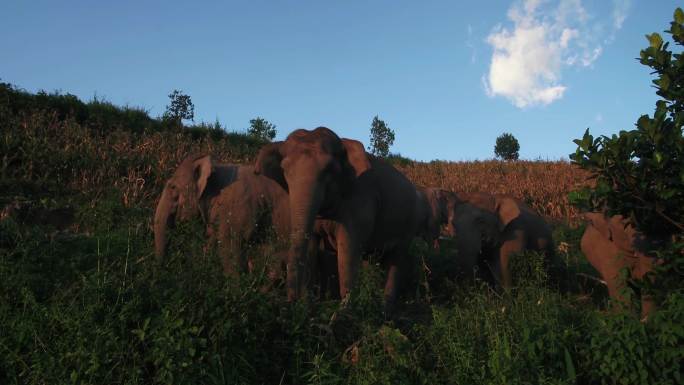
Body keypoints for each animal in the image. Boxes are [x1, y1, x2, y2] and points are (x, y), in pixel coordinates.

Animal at [255, 126, 422, 312]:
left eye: (329, 169)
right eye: (284, 169)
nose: (290, 301)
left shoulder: (360, 199)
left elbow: (347, 247)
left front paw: (344, 311)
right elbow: (312, 247)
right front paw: (307, 306)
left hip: (410, 222)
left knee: (396, 259)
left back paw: (385, 310)